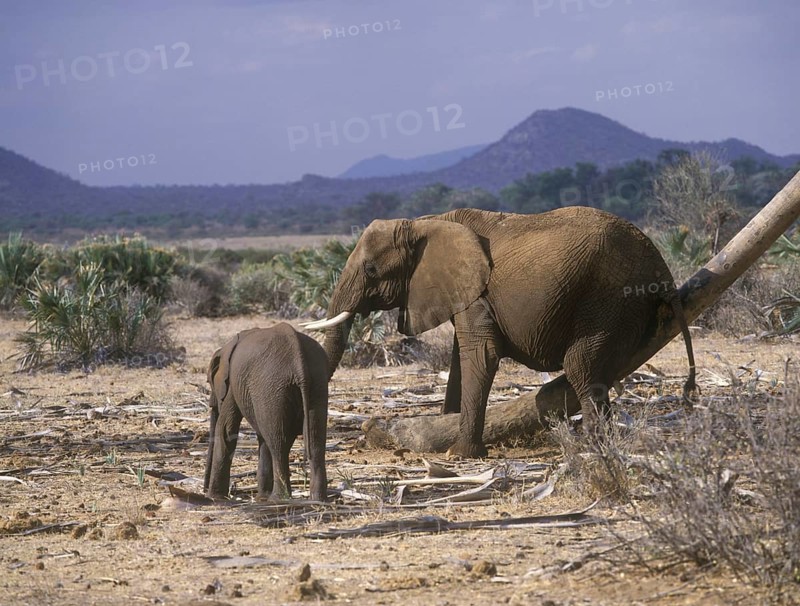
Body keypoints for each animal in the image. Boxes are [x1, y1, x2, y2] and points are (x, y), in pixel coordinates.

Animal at [204, 323, 329, 501]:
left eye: (209, 381)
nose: (203, 489)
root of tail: (298, 358)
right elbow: (262, 436)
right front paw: (261, 497)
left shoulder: (232, 386)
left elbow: (226, 430)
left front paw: (215, 498)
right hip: (315, 383)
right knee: (314, 438)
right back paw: (318, 499)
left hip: (272, 386)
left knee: (278, 441)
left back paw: (278, 499)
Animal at [304, 207, 695, 458]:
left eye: (371, 270)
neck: (422, 223)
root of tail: (660, 265)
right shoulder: (464, 293)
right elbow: (459, 360)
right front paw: (445, 430)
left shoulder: (478, 293)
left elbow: (481, 356)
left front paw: (460, 454)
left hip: (610, 296)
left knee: (581, 365)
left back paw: (593, 447)